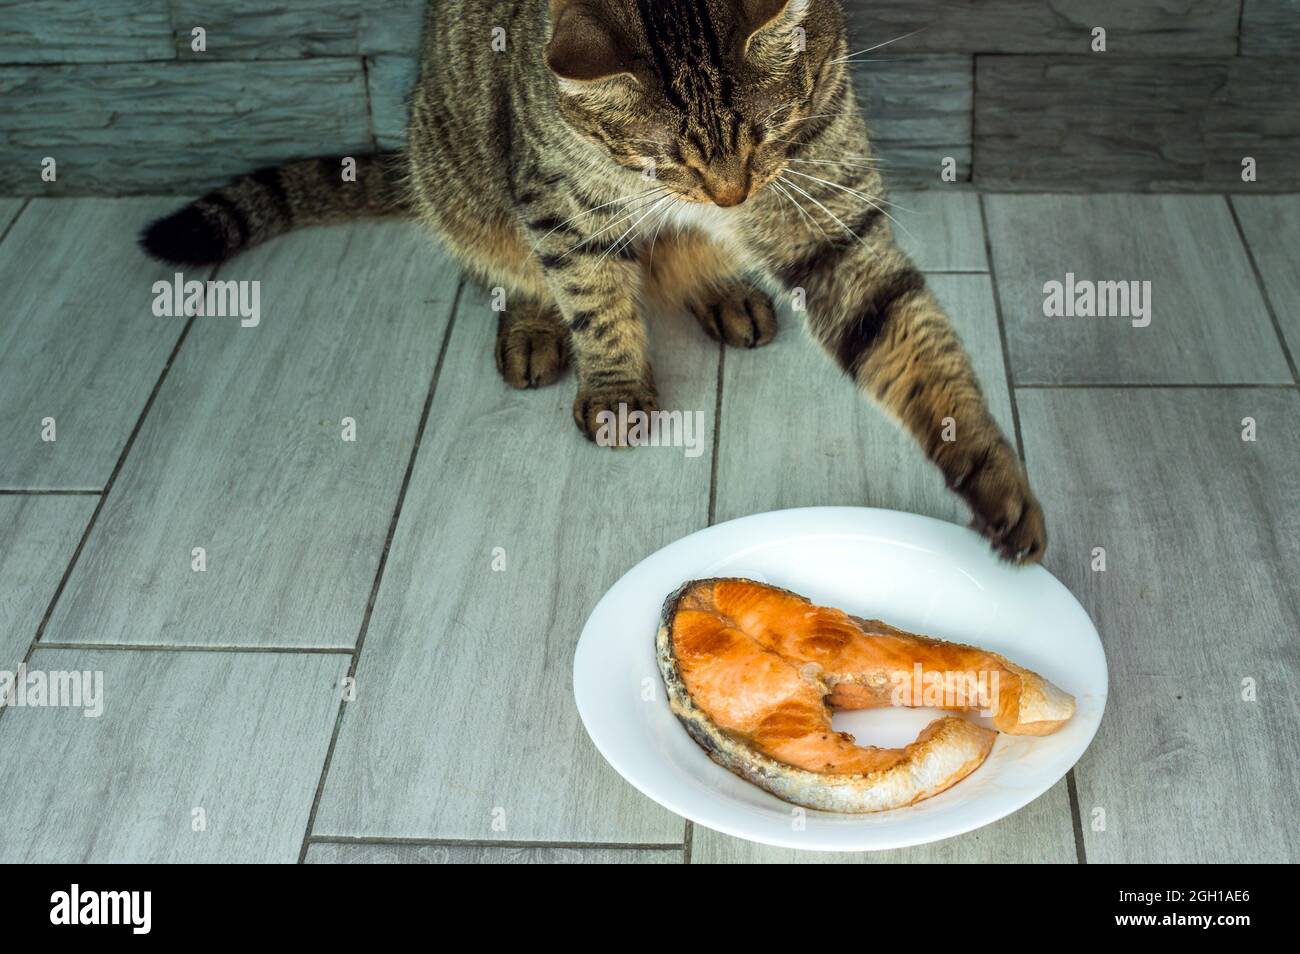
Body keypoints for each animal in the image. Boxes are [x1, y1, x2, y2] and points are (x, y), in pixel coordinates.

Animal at [142, 0, 1045, 561]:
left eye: (766, 135)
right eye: (667, 159)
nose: (729, 194)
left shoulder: (829, 211)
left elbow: (909, 342)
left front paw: (994, 479)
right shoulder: (558, 205)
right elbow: (592, 298)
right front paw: (612, 385)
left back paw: (724, 289)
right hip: (465, 180)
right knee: (510, 269)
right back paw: (534, 329)